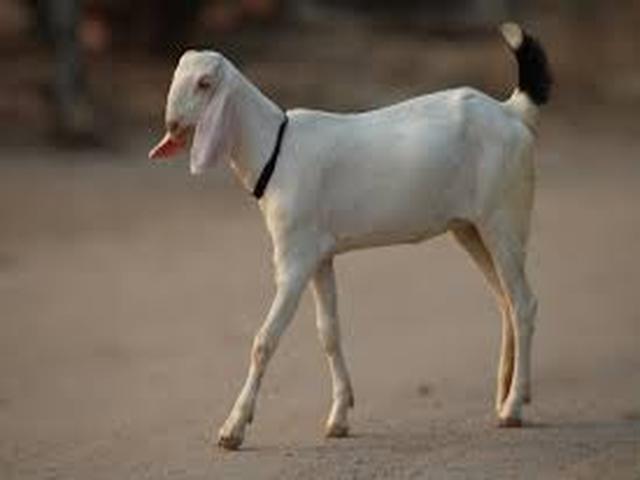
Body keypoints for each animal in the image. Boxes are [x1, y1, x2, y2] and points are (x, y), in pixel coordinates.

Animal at [149, 23, 552, 450]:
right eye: (177, 77)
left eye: (204, 83)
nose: (172, 125)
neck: (274, 148)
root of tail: (510, 112)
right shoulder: (320, 255)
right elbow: (329, 332)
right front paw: (338, 417)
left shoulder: (295, 259)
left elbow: (265, 340)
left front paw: (233, 429)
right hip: (470, 228)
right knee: (504, 302)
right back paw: (507, 395)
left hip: (503, 218)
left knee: (523, 304)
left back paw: (513, 408)